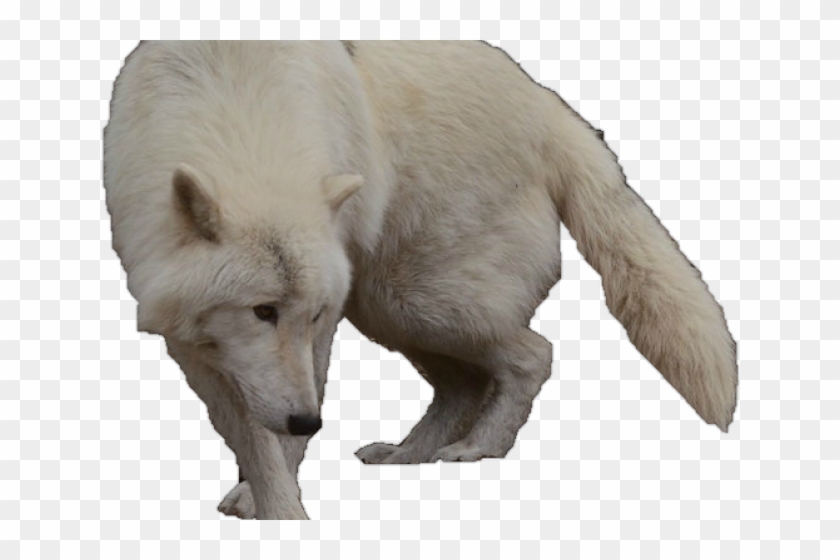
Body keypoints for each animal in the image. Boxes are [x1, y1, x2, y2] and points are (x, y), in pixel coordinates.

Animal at [103, 41, 738, 520]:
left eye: (310, 313)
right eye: (263, 310)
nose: (309, 419)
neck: (239, 108)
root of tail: (550, 107)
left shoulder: (322, 331)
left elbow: (278, 439)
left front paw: (281, 513)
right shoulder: (193, 341)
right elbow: (248, 433)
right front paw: (263, 495)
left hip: (421, 303)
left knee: (533, 354)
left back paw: (479, 447)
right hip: (392, 310)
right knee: (462, 386)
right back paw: (408, 456)